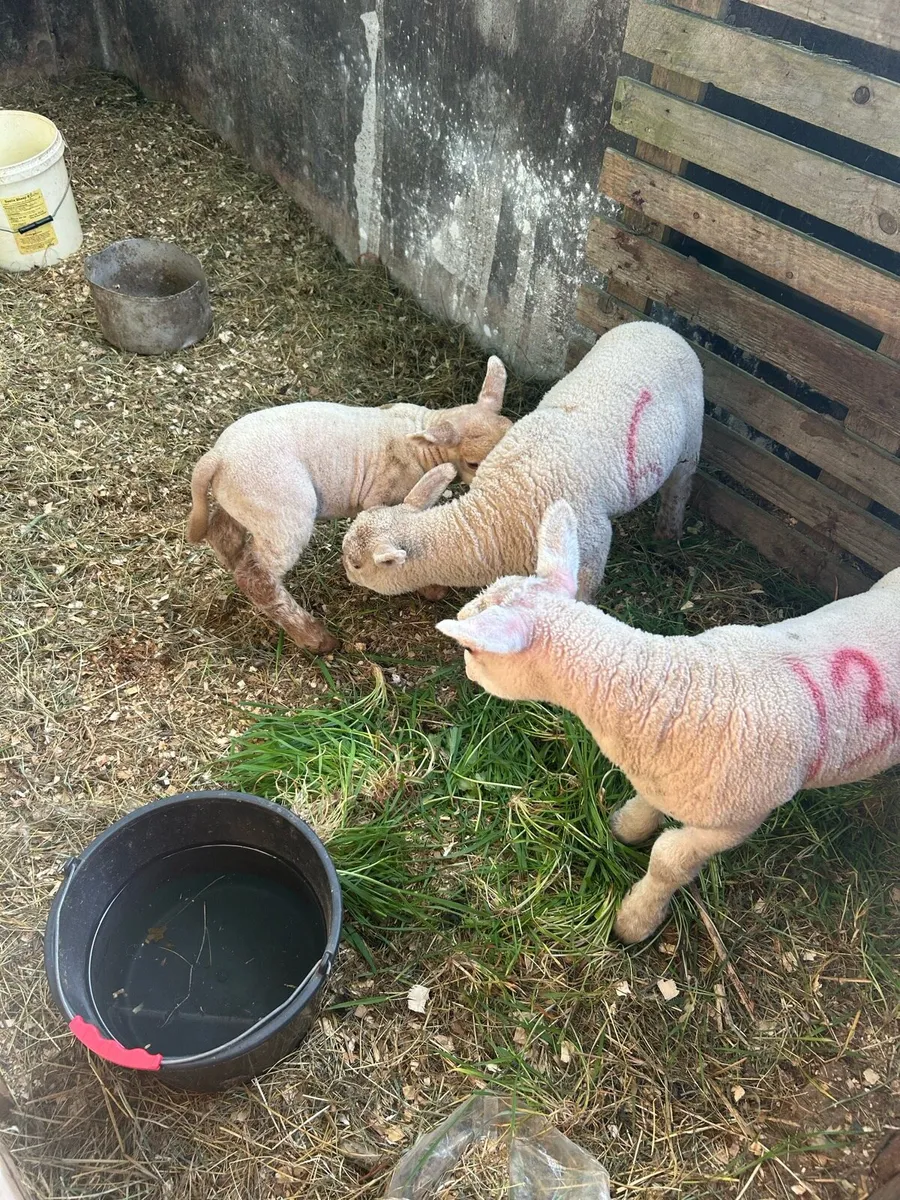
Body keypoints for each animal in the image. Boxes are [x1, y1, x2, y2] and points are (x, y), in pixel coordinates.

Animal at [186, 366, 512, 652]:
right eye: (473, 462)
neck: (420, 438)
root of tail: (217, 457)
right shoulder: (383, 493)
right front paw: (431, 588)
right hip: (282, 512)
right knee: (257, 578)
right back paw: (315, 638)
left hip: (244, 502)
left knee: (223, 533)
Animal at [342, 321, 704, 602]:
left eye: (357, 564)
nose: (345, 576)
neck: (500, 509)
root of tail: (659, 327)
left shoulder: (592, 546)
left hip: (690, 440)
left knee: (680, 487)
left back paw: (667, 534)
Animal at [437, 500, 900, 943]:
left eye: (472, 649)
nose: (467, 671)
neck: (673, 688)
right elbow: (648, 803)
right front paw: (627, 827)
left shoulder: (734, 820)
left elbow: (668, 862)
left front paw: (635, 920)